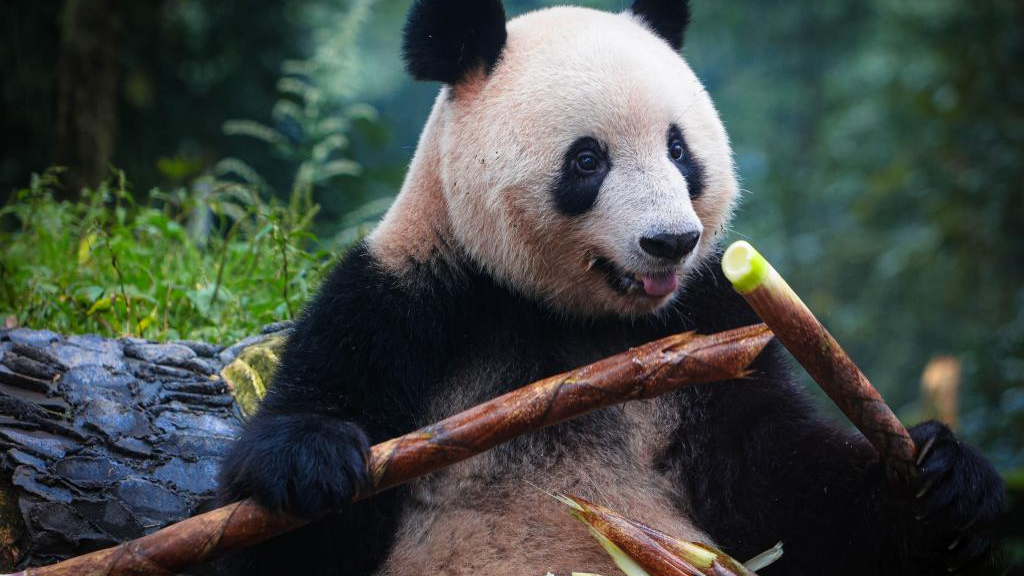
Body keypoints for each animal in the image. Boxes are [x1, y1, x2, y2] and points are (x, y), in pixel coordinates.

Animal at [217, 1, 1006, 575]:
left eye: (680, 150)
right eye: (587, 160)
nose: (671, 241)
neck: (572, 317)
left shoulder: (708, 321)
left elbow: (779, 486)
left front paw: (949, 484)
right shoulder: (410, 297)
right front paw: (314, 462)